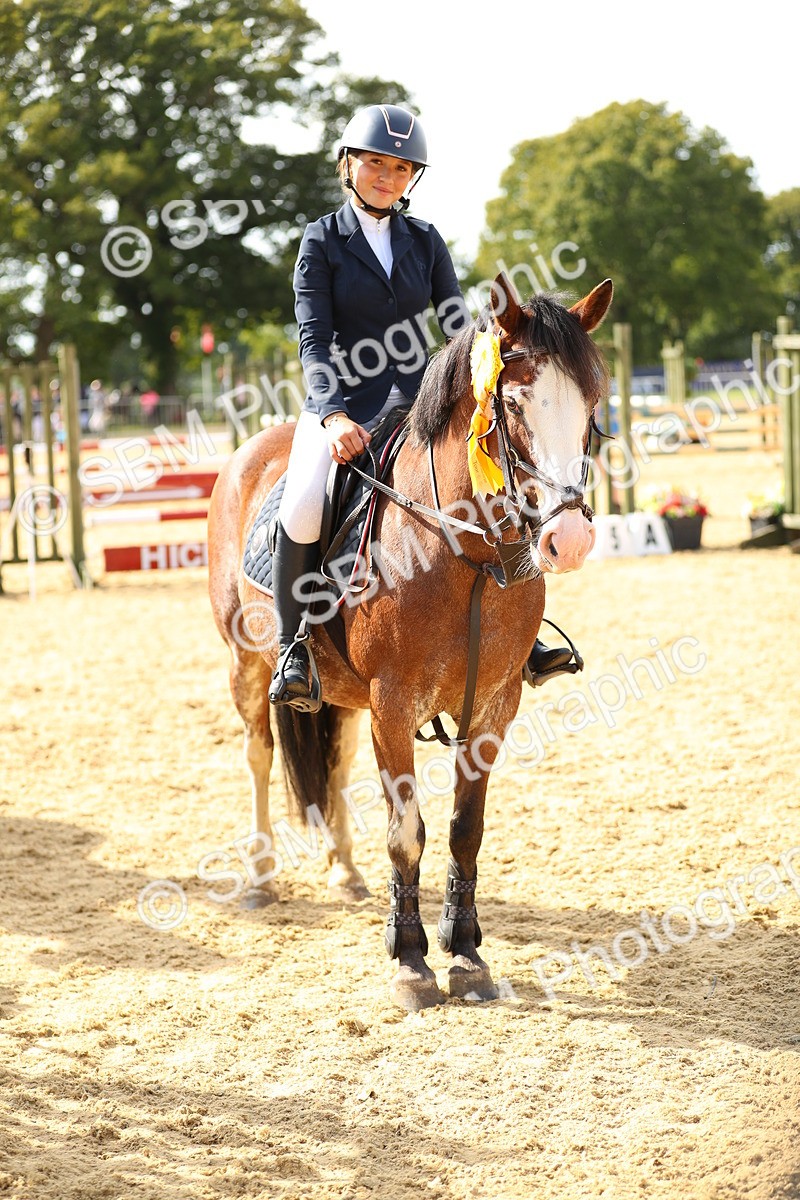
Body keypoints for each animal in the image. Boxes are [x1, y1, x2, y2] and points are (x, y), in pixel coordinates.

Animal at [207, 273, 613, 1011]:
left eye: (591, 403)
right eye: (514, 404)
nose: (568, 541)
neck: (463, 553)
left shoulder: (494, 706)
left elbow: (463, 829)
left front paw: (467, 951)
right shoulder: (394, 706)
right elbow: (407, 833)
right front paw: (411, 961)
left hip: (341, 695)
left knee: (333, 763)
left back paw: (344, 872)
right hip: (246, 663)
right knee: (258, 754)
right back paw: (259, 876)